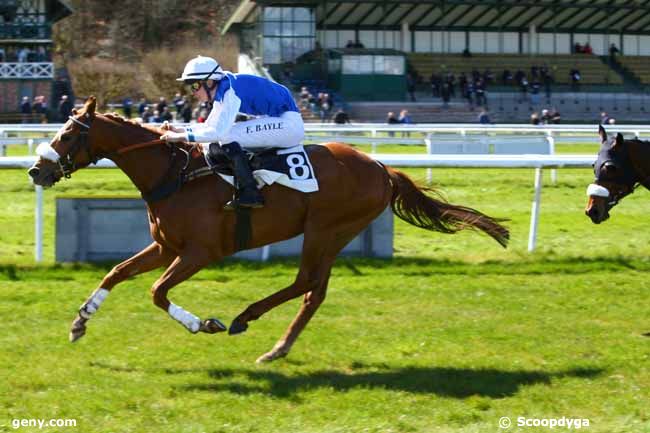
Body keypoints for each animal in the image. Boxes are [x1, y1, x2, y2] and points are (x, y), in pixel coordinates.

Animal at [29, 97, 506, 362]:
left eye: (68, 134)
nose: (36, 170)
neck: (174, 173)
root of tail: (380, 167)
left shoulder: (199, 252)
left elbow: (157, 292)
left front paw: (204, 324)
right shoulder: (165, 247)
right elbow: (116, 273)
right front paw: (79, 322)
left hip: (325, 229)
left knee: (305, 282)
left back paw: (245, 318)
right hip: (334, 235)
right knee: (314, 291)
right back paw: (277, 347)